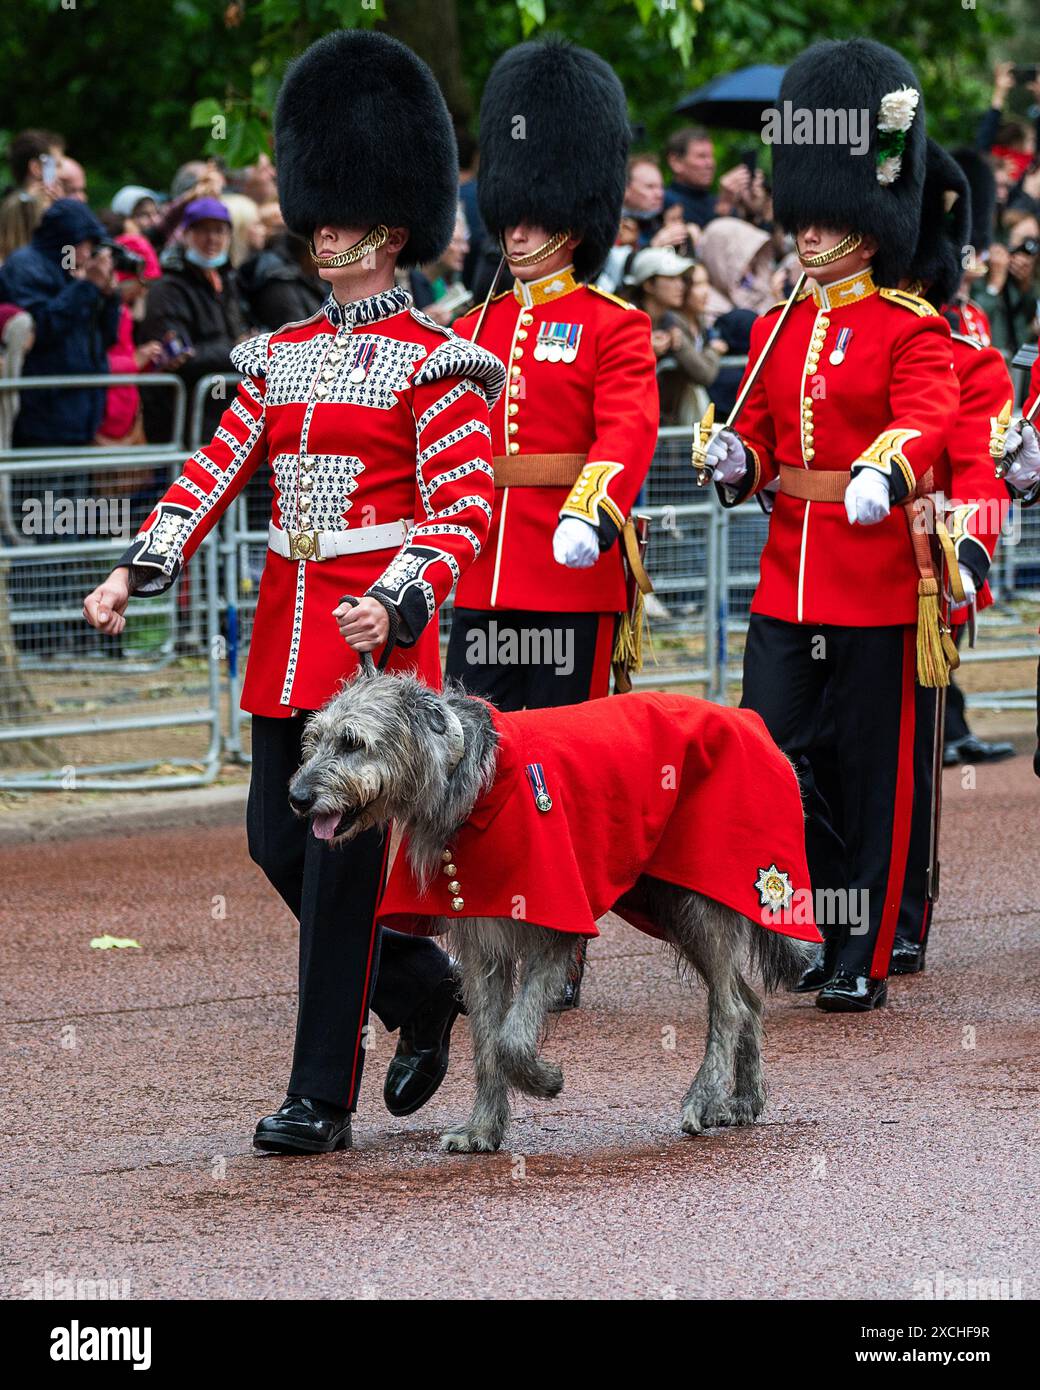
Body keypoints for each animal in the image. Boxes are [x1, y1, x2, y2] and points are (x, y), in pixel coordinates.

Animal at [287, 672, 817, 1150]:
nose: (297, 798)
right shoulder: (483, 944)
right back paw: (745, 1100)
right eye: (312, 739)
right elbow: (487, 1039)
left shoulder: (556, 927)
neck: (475, 789)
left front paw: (544, 1080)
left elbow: (511, 1039)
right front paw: (482, 1129)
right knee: (746, 999)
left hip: (704, 898)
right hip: (670, 906)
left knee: (729, 1006)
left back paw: (704, 1100)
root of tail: (750, 722)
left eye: (352, 742)